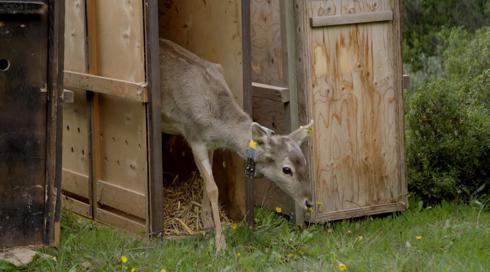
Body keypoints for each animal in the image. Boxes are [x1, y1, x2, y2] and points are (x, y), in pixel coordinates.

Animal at [161, 39, 314, 252]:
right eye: (286, 169)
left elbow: (207, 182)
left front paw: (207, 222)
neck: (217, 123)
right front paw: (220, 243)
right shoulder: (194, 137)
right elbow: (213, 188)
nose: (309, 202)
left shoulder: (211, 144)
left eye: (304, 162)